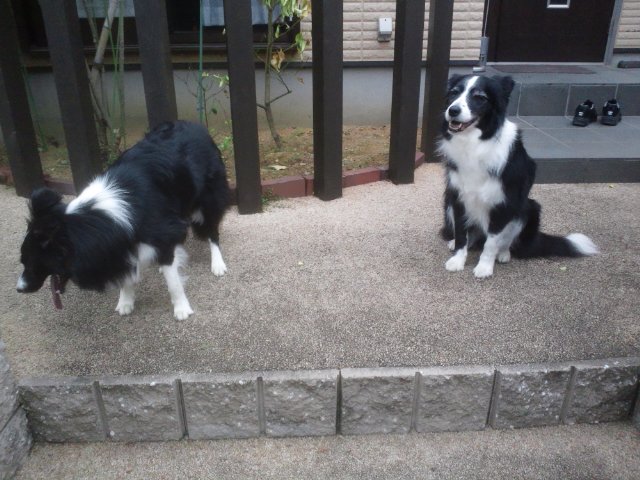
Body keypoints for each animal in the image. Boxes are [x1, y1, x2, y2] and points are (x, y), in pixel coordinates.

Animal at [16, 121, 229, 320]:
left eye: (33, 263)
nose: (19, 288)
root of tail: (195, 125)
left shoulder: (160, 230)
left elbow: (173, 282)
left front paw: (182, 308)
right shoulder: (122, 241)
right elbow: (127, 272)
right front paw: (126, 301)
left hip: (209, 198)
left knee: (212, 231)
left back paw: (217, 264)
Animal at [439, 74, 598, 278]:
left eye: (480, 97)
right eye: (454, 93)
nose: (453, 110)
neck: (476, 142)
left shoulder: (503, 202)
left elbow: (491, 243)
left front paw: (484, 267)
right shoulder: (458, 197)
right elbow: (460, 234)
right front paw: (458, 260)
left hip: (528, 208)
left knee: (505, 241)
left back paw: (503, 254)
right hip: (448, 203)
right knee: (470, 235)